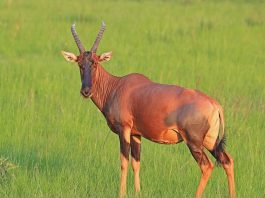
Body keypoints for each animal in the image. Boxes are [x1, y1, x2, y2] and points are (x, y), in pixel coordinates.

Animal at [61, 22, 235, 197]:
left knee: (206, 166)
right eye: (80, 64)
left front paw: (121, 193)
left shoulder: (124, 129)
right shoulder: (136, 134)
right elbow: (136, 162)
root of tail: (214, 104)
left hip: (194, 142)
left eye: (95, 63)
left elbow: (123, 161)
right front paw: (138, 192)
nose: (86, 91)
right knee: (227, 161)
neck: (117, 86)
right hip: (211, 141)